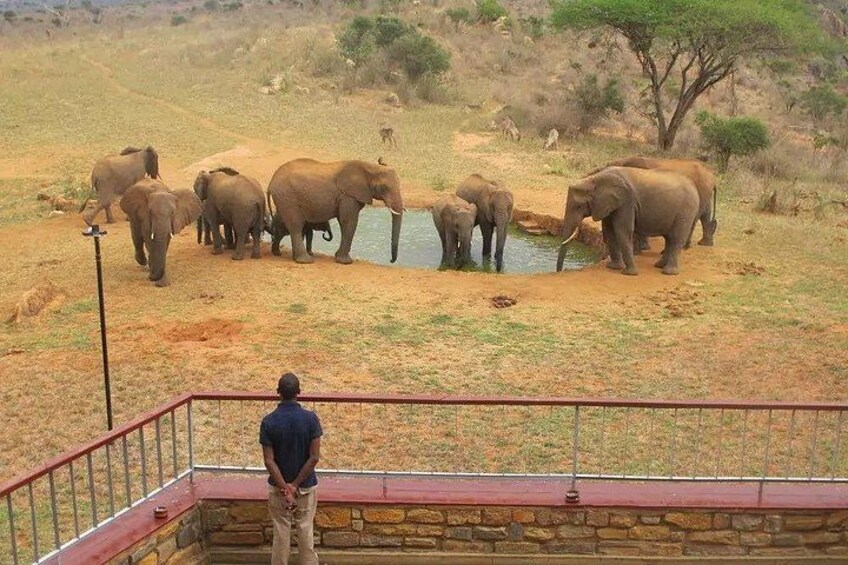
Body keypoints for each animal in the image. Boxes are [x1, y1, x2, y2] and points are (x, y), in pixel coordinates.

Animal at [266, 158, 403, 264]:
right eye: (384, 187)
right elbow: (349, 221)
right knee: (295, 225)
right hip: (288, 198)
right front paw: (345, 262)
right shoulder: (348, 195)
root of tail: (271, 182)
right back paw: (305, 261)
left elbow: (344, 222)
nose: (391, 260)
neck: (370, 167)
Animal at [557, 167, 700, 276]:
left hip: (686, 210)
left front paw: (629, 273)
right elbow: (609, 232)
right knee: (668, 238)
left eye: (578, 206)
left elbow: (622, 231)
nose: (559, 272)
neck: (594, 179)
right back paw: (659, 266)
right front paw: (614, 267)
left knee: (676, 238)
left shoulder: (626, 202)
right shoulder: (609, 204)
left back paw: (668, 272)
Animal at [588, 156, 717, 247]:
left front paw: (641, 247)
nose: (604, 242)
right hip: (705, 190)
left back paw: (687, 246)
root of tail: (711, 174)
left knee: (696, 217)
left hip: (702, 189)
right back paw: (704, 243)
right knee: (705, 214)